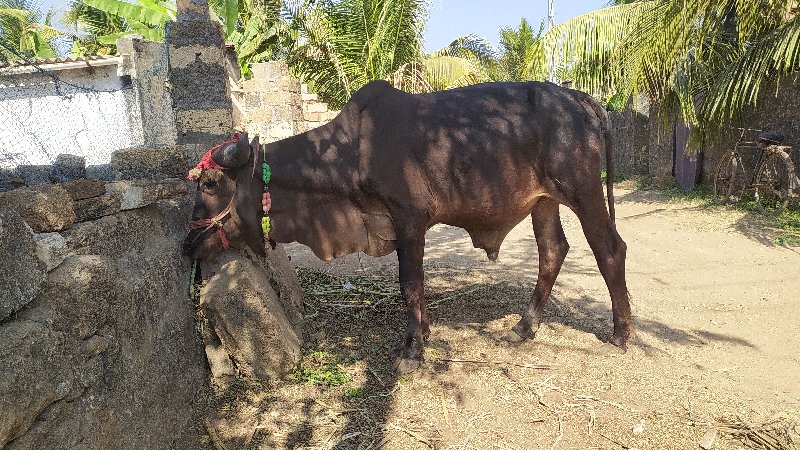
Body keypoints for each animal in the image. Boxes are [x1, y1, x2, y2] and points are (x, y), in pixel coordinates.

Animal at [184, 80, 636, 372]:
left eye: (209, 184)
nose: (188, 242)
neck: (348, 155)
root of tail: (579, 96)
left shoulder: (409, 220)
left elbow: (409, 285)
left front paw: (414, 350)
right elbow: (415, 287)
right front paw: (422, 334)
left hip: (582, 191)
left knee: (610, 248)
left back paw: (620, 333)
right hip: (543, 201)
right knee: (552, 251)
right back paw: (524, 327)